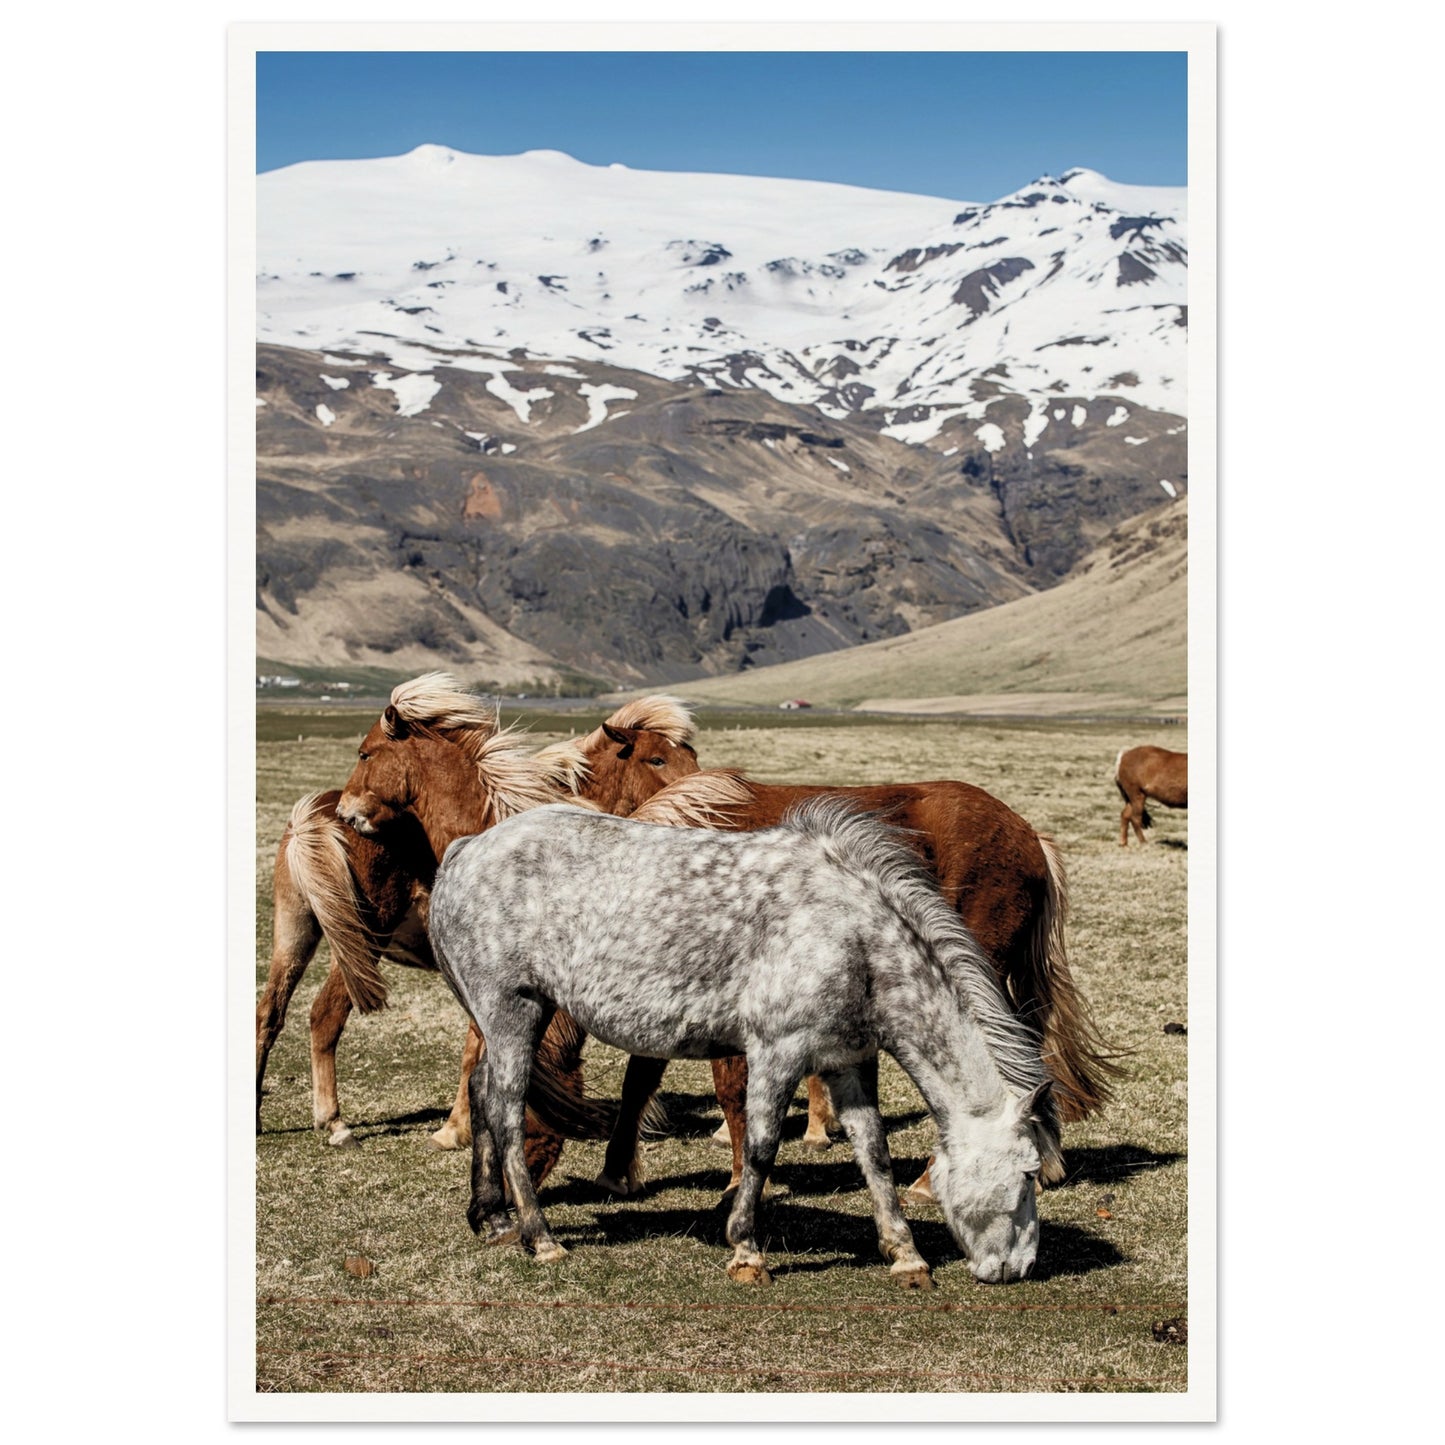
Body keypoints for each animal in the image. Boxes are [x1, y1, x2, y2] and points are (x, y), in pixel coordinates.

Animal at [254, 673, 698, 1157]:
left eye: (689, 755)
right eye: (657, 758)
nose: (349, 811)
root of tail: (312, 818)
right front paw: (462, 1127)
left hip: (296, 934)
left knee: (271, 1013)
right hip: (360, 943)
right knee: (323, 1017)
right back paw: (335, 1124)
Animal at [427, 799, 1060, 1289]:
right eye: (1030, 1174)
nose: (1020, 1267)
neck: (853, 937)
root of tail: (467, 848)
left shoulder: (849, 1061)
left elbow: (874, 1154)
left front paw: (906, 1255)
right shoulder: (777, 1052)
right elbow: (759, 1148)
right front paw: (747, 1250)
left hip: (512, 1017)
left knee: (482, 1092)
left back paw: (491, 1218)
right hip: (513, 1009)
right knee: (507, 1111)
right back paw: (540, 1236)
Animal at [602, 765, 1115, 1196]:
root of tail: (1029, 835)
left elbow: (732, 1092)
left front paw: (743, 1183)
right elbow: (640, 1078)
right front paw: (616, 1172)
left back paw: (932, 1182)